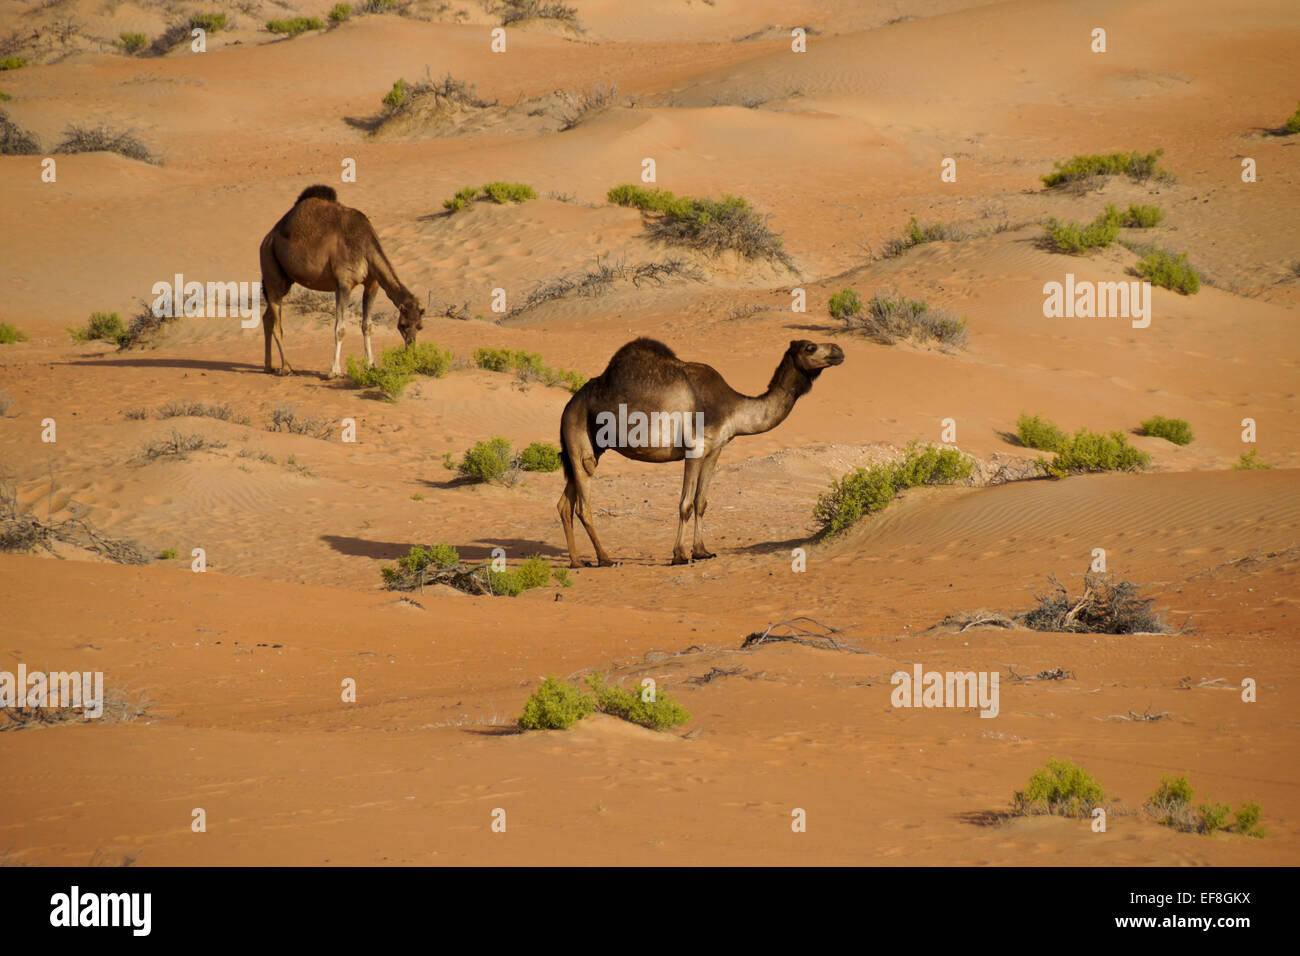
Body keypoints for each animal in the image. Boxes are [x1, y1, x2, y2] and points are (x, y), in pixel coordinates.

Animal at [258, 187, 426, 377]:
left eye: (420, 326)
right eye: (402, 325)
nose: (411, 347)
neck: (364, 246)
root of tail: (269, 237)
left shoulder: (372, 284)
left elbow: (367, 325)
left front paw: (371, 365)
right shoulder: (344, 284)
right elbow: (340, 328)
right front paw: (334, 371)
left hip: (286, 279)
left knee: (267, 317)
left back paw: (268, 366)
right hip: (270, 266)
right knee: (277, 324)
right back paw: (286, 368)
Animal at [556, 338, 842, 567]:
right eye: (810, 347)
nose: (839, 351)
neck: (732, 407)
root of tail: (568, 406)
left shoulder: (714, 450)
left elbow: (701, 502)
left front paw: (702, 551)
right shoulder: (694, 448)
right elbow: (685, 504)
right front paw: (680, 555)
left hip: (589, 448)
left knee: (564, 504)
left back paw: (576, 561)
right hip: (578, 435)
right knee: (583, 505)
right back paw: (605, 559)